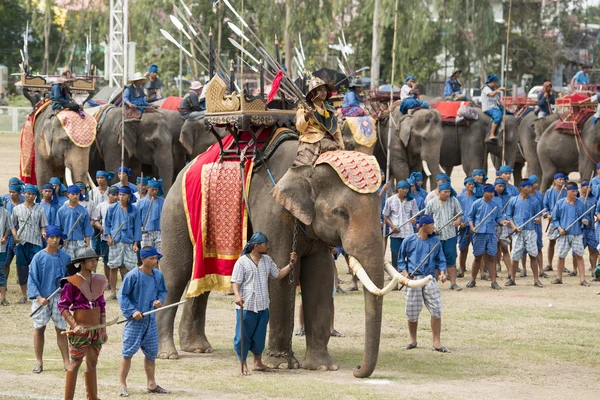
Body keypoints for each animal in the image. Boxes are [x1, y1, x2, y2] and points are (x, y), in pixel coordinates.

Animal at [156, 141, 432, 378]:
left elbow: (320, 275)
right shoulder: (273, 210)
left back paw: (197, 347)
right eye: (340, 213)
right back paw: (169, 354)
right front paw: (280, 364)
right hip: (174, 212)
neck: (310, 163)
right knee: (175, 275)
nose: (356, 369)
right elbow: (279, 271)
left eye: (379, 212)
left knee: (199, 280)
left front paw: (322, 367)